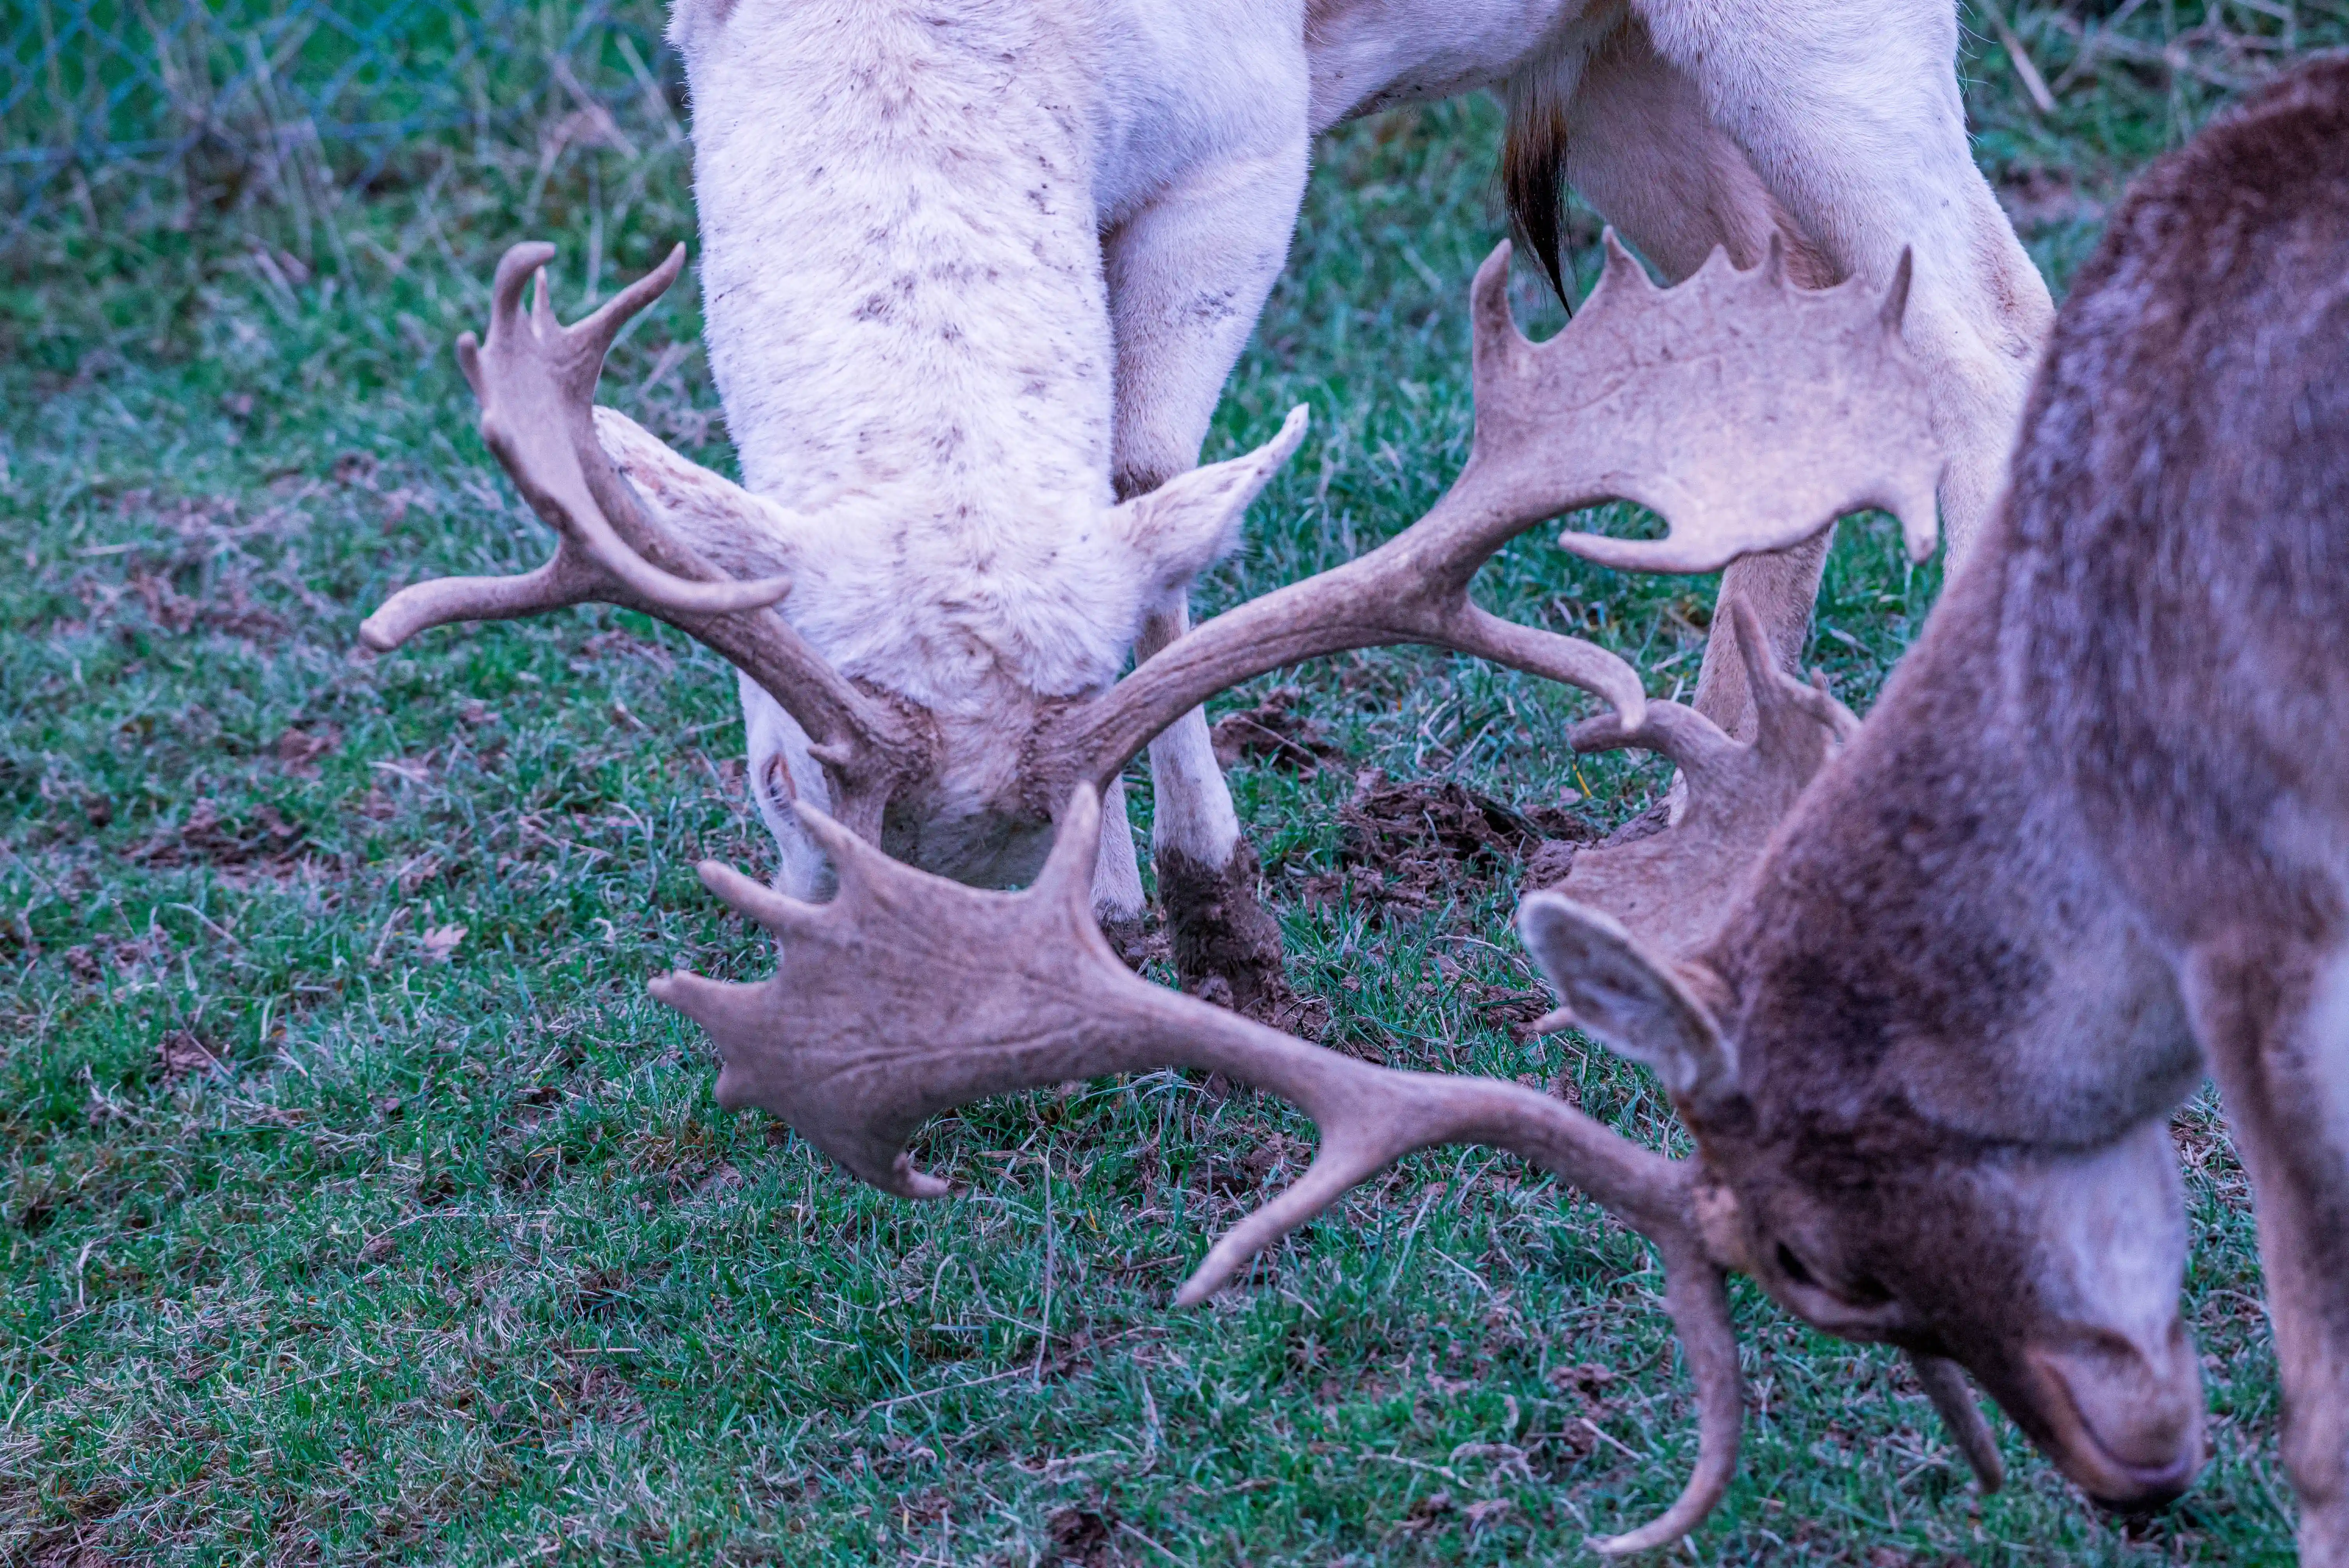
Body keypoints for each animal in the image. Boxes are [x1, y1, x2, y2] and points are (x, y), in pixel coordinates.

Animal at [361, 0, 2053, 1023]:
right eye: (783, 780)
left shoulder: (1242, 143)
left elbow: (1143, 479)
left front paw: (1221, 923)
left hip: (1822, 37)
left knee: (1992, 333)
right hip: (1627, 65)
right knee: (1800, 314)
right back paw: (1702, 832)